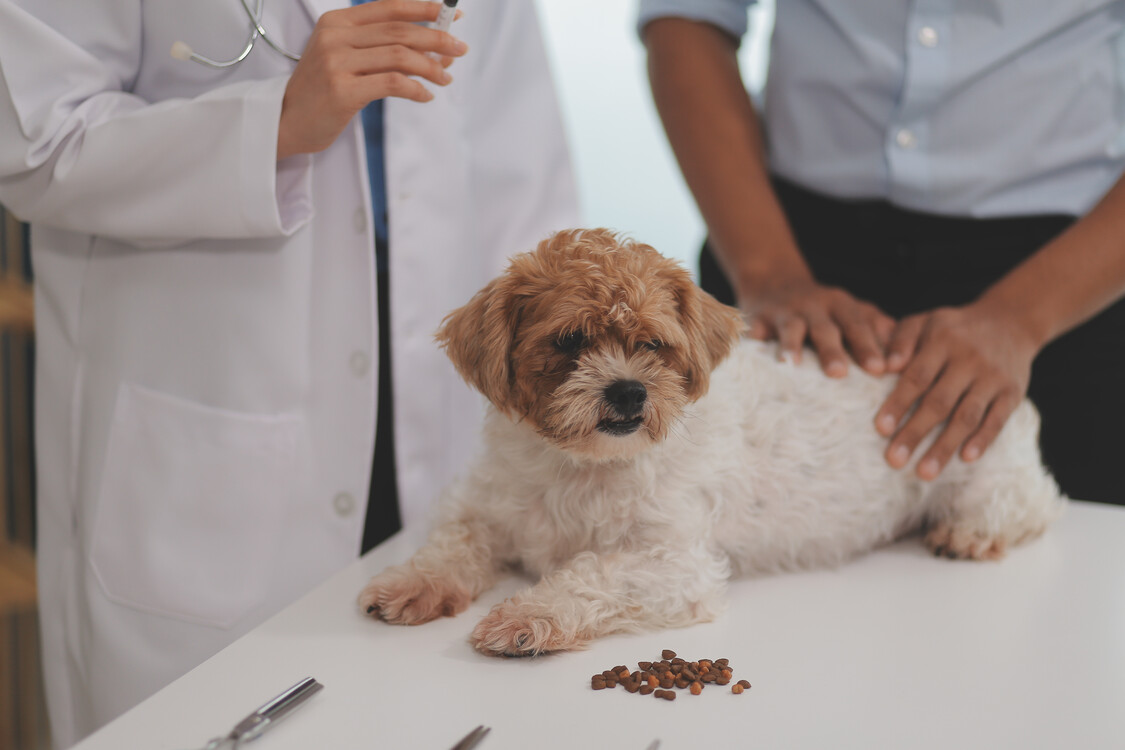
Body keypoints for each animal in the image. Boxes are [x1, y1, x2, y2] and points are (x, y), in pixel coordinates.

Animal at [357, 227, 1062, 656]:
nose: (627, 392)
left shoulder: (675, 565)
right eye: (569, 341)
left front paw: (526, 615)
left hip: (986, 476)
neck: (578, 468)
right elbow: (450, 544)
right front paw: (410, 583)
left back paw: (967, 533)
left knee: (1032, 506)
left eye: (652, 344)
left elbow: (587, 574)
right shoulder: (478, 506)